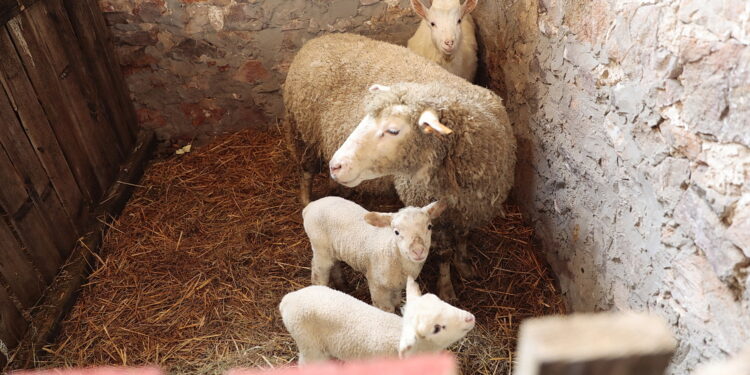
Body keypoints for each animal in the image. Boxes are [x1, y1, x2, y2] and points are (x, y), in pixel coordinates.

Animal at [282, 33, 516, 302]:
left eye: (393, 130)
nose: (337, 165)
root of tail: (319, 39)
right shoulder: (435, 216)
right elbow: (444, 255)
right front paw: (446, 288)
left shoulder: (471, 210)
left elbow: (464, 238)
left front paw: (465, 264)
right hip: (302, 131)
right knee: (306, 171)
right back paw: (306, 199)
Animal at [304, 197, 446, 314]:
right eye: (396, 232)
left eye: (429, 226)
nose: (418, 251)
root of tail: (310, 206)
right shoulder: (377, 285)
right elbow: (387, 310)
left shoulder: (396, 286)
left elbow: (396, 303)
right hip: (319, 246)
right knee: (318, 272)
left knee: (334, 265)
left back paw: (343, 286)